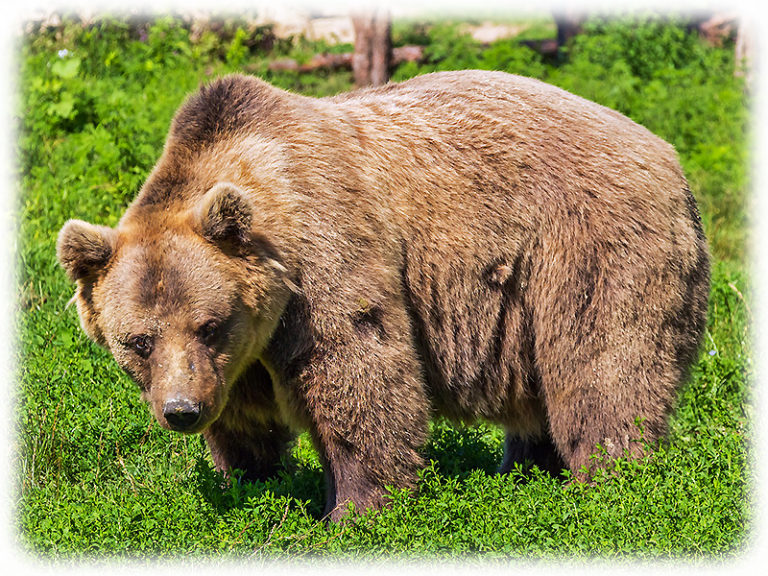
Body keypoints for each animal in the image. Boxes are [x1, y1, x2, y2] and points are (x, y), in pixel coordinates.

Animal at [57, 70, 710, 521]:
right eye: (138, 341)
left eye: (208, 324)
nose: (181, 411)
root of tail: (669, 156)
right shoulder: (239, 357)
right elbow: (245, 420)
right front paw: (251, 481)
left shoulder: (324, 258)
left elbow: (360, 372)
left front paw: (354, 509)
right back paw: (524, 471)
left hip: (588, 249)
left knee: (603, 368)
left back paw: (609, 480)